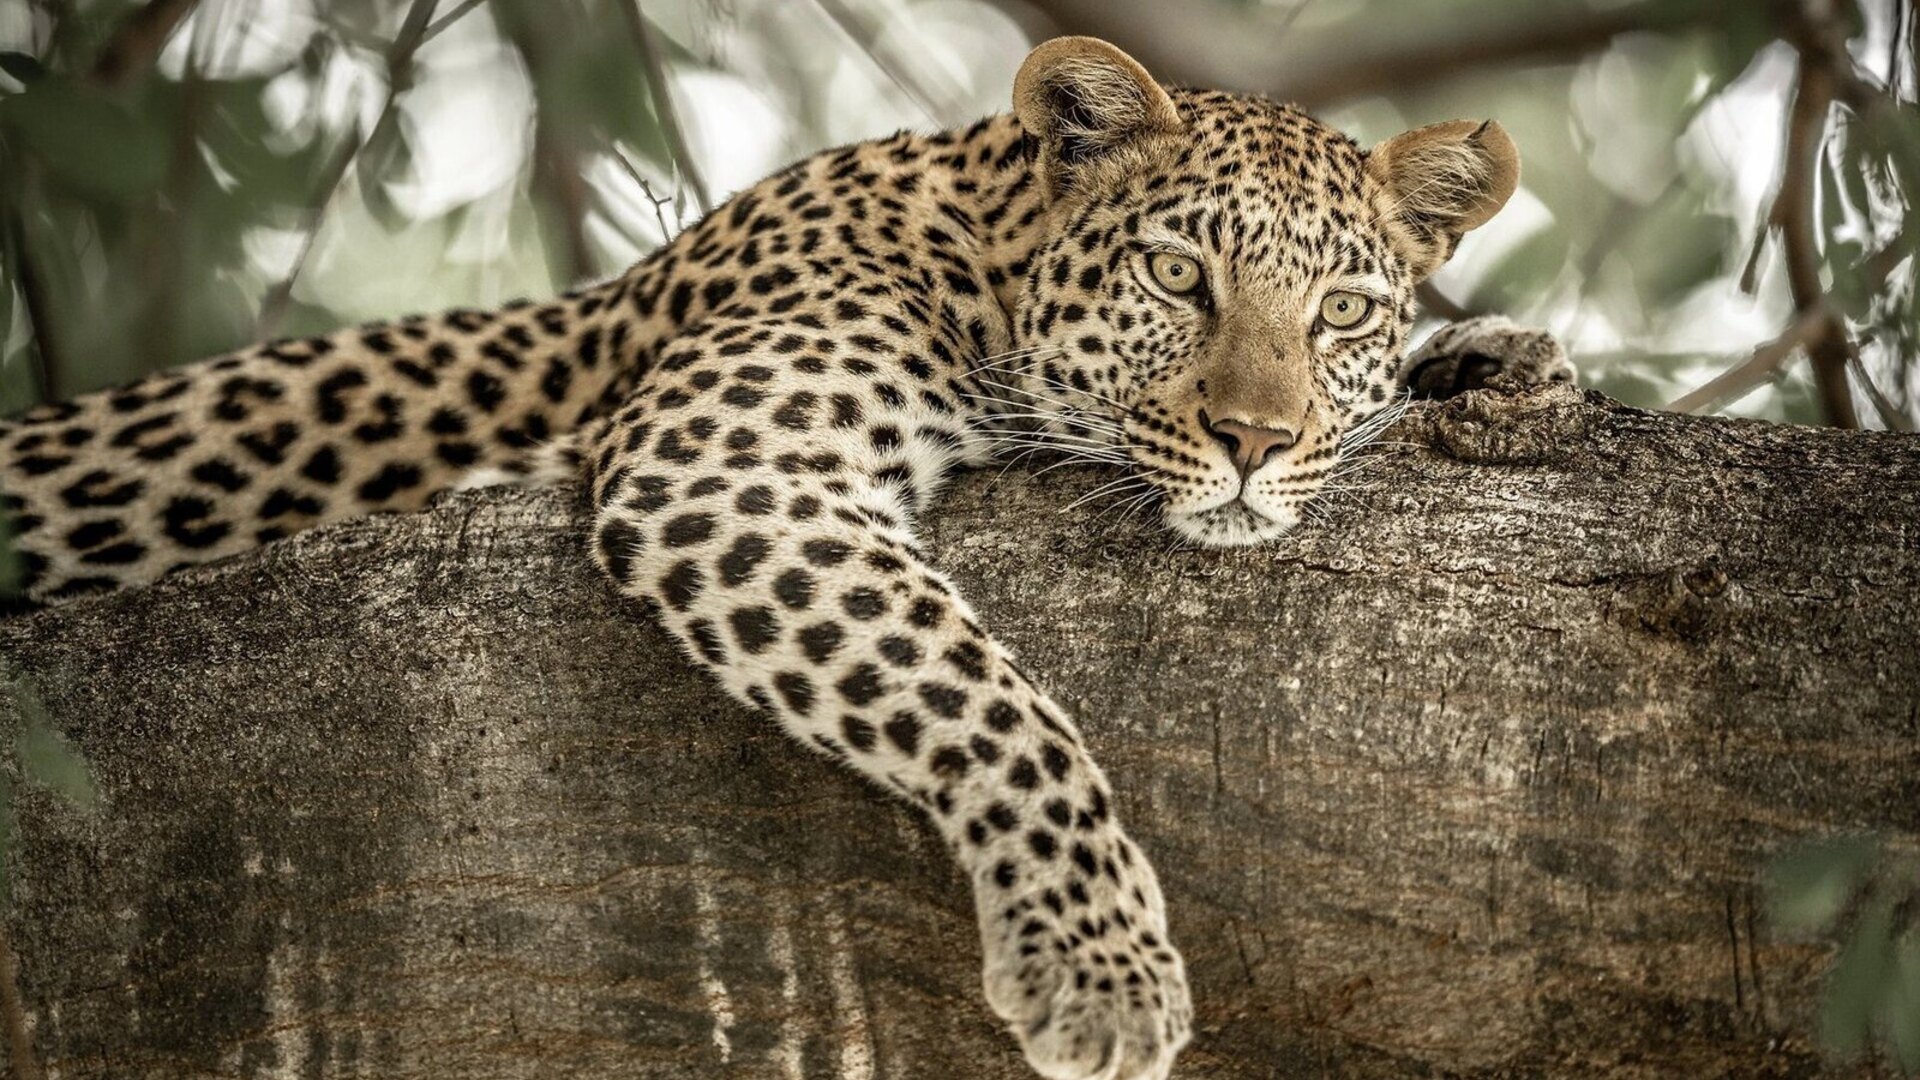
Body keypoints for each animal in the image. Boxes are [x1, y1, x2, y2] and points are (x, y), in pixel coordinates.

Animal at [0, 37, 1572, 1080]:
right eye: (1180, 277)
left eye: (1344, 310)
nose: (1254, 437)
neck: (978, 248)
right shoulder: (724, 463)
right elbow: (991, 702)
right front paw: (1098, 956)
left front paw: (1496, 362)